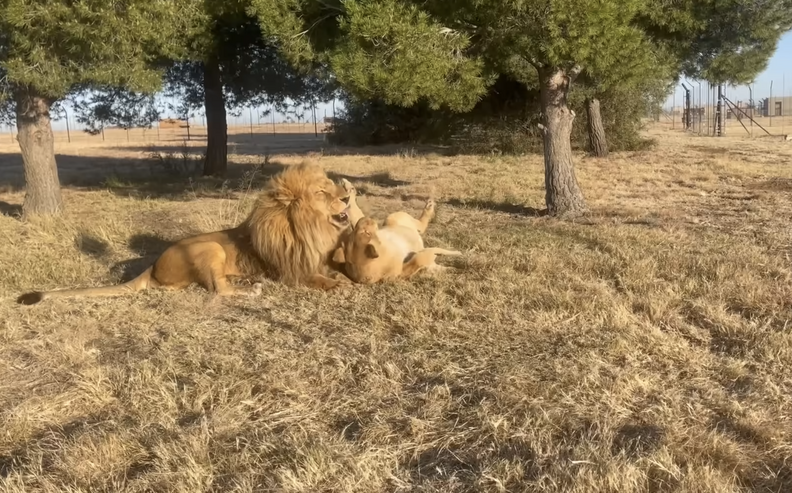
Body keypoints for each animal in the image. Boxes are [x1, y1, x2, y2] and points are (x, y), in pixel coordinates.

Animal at [17, 163, 365, 305]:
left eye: (332, 185)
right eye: (322, 192)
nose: (349, 195)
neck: (311, 227)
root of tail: (153, 264)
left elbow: (337, 268)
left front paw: (347, 277)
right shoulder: (290, 271)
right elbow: (317, 278)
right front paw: (339, 285)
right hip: (211, 247)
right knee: (218, 290)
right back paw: (251, 289)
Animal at [331, 199, 462, 284]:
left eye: (352, 233)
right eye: (366, 233)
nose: (365, 218)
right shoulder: (403, 271)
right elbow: (423, 259)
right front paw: (456, 258)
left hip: (393, 218)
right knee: (422, 226)